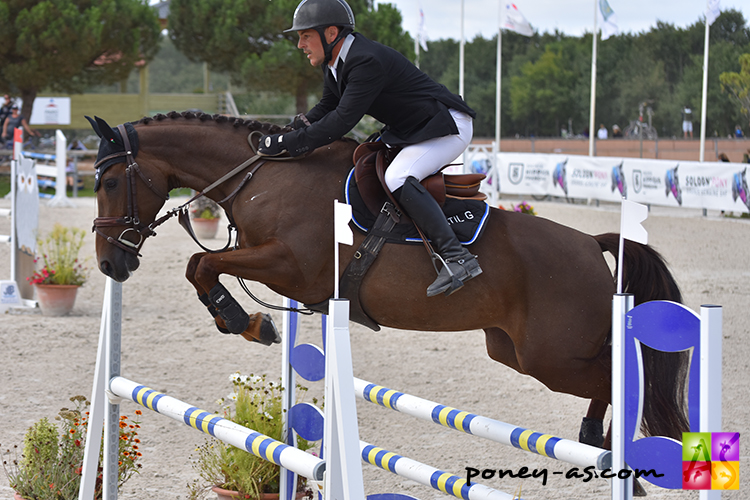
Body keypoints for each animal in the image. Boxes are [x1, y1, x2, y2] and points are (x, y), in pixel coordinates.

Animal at [86, 112, 688, 442]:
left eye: (111, 182)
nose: (110, 264)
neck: (262, 178)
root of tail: (591, 244)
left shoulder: (291, 266)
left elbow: (204, 263)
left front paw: (245, 321)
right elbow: (200, 265)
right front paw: (250, 322)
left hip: (552, 355)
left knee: (620, 376)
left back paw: (608, 443)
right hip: (512, 350)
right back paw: (593, 436)